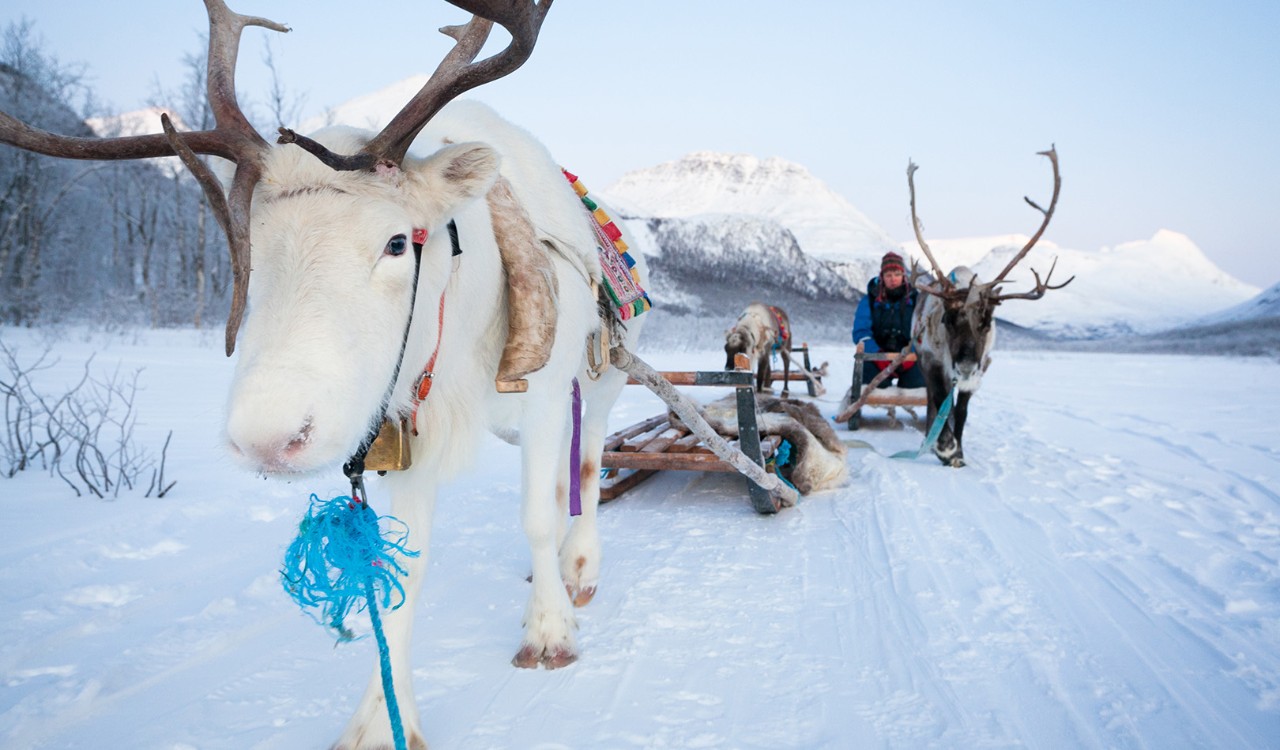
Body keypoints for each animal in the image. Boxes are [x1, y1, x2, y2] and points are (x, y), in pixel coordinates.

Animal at [0, 1, 652, 747]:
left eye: (397, 242)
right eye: (246, 248)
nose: (266, 438)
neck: (456, 340)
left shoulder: (542, 395)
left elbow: (538, 516)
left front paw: (549, 632)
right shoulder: (413, 437)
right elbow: (406, 569)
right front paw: (380, 720)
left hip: (601, 379)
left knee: (589, 462)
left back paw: (580, 566)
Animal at [907, 147, 1072, 467]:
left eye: (988, 321)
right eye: (947, 319)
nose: (965, 366)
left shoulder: (981, 370)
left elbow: (961, 411)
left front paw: (958, 452)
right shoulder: (931, 361)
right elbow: (939, 397)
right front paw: (944, 447)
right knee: (935, 400)